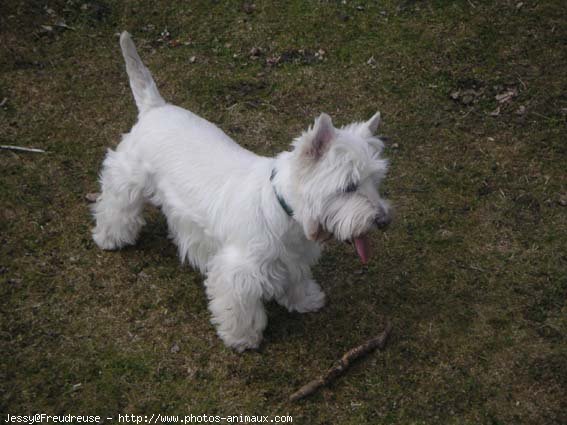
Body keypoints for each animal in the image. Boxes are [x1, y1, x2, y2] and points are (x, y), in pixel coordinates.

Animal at [93, 32, 392, 352]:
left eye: (375, 181)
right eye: (348, 186)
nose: (383, 221)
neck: (284, 211)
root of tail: (155, 107)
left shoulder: (293, 260)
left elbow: (297, 280)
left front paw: (306, 299)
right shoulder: (239, 271)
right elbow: (240, 307)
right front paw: (242, 337)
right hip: (128, 179)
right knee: (115, 205)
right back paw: (110, 237)